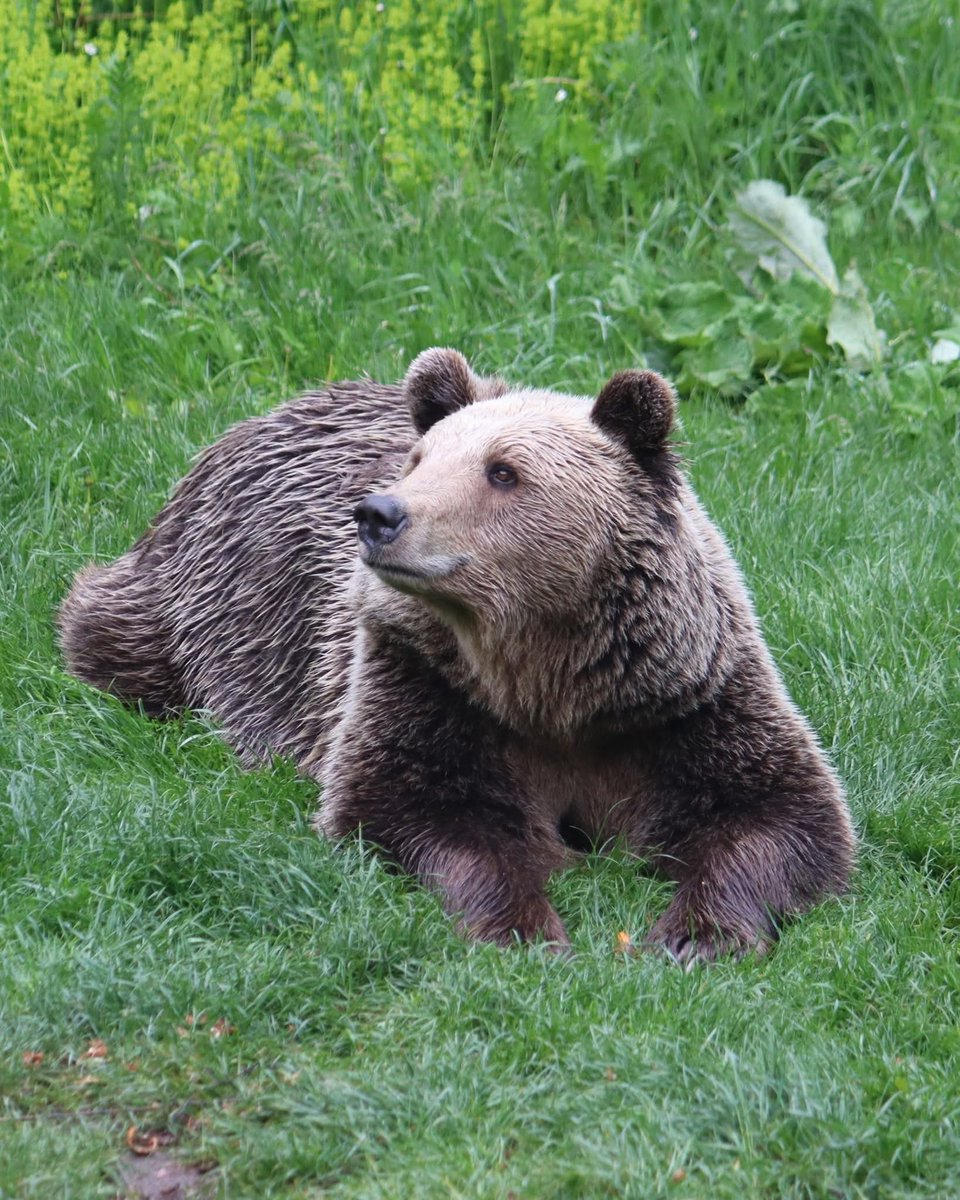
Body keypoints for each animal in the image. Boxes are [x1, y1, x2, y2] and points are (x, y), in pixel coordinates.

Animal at [59, 348, 855, 961]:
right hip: (209, 604)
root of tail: (260, 415)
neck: (549, 676)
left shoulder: (682, 698)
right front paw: (526, 927)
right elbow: (417, 809)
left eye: (503, 470)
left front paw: (696, 935)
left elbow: (778, 813)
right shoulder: (427, 683)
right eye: (419, 458)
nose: (380, 513)